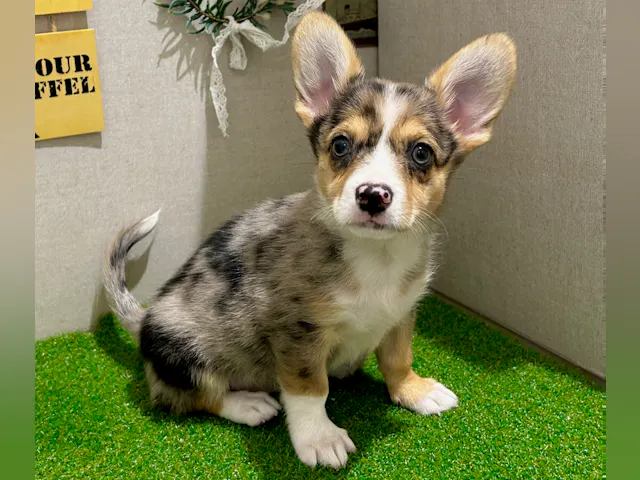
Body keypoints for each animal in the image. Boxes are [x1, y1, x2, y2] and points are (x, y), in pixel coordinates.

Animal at [104, 11, 516, 469]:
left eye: (422, 153)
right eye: (340, 144)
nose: (372, 195)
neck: (376, 257)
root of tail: (142, 319)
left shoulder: (401, 314)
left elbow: (398, 358)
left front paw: (414, 391)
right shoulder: (297, 332)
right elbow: (309, 389)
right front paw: (319, 439)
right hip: (179, 347)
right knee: (193, 395)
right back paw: (248, 403)